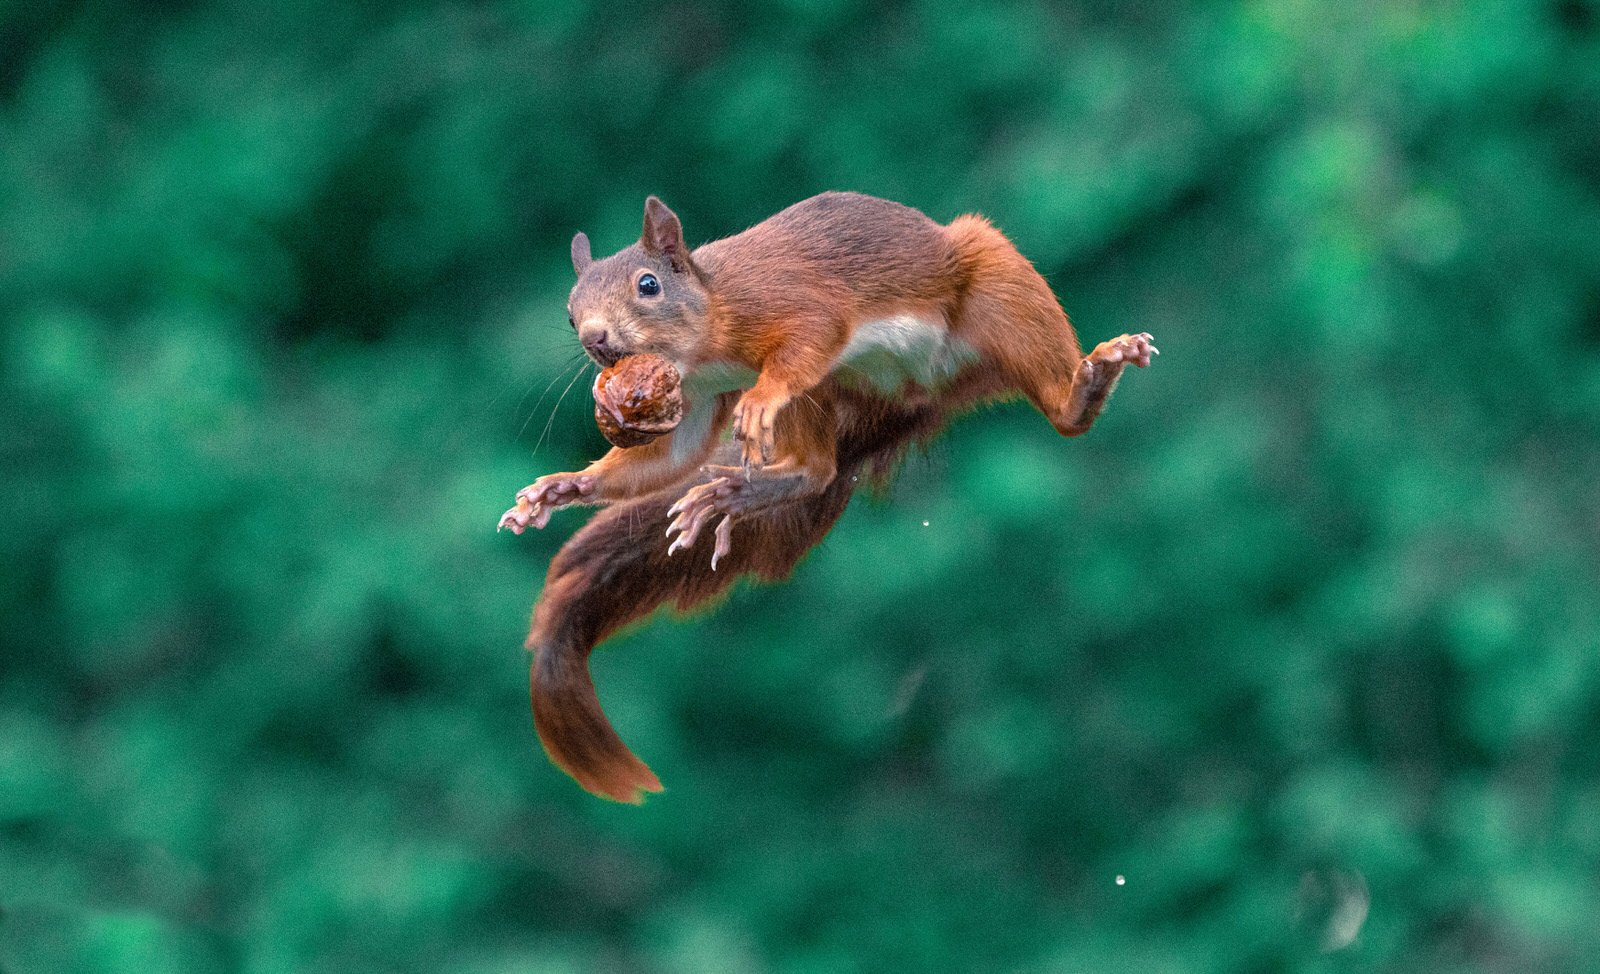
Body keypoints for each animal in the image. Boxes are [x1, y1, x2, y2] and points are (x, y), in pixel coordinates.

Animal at [500, 192, 1156, 802]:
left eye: (648, 284)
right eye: (569, 314)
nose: (595, 340)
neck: (705, 337)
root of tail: (927, 391)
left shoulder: (791, 303)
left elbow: (812, 333)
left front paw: (762, 396)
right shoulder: (697, 399)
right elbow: (673, 455)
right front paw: (564, 487)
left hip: (993, 285)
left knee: (1056, 401)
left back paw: (1086, 384)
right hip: (832, 389)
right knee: (817, 470)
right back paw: (744, 491)